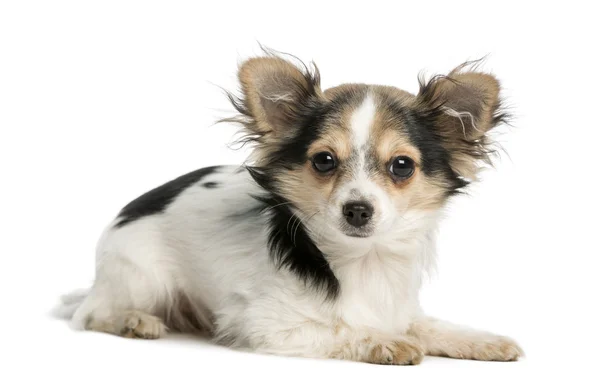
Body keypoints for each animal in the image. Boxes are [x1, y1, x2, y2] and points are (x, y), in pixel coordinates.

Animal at [58, 51, 524, 366]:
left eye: (402, 166)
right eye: (324, 160)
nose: (357, 209)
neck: (364, 261)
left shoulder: (401, 308)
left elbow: (428, 325)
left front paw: (481, 340)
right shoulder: (267, 326)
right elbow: (343, 328)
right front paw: (385, 342)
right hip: (143, 278)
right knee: (93, 314)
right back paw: (135, 321)